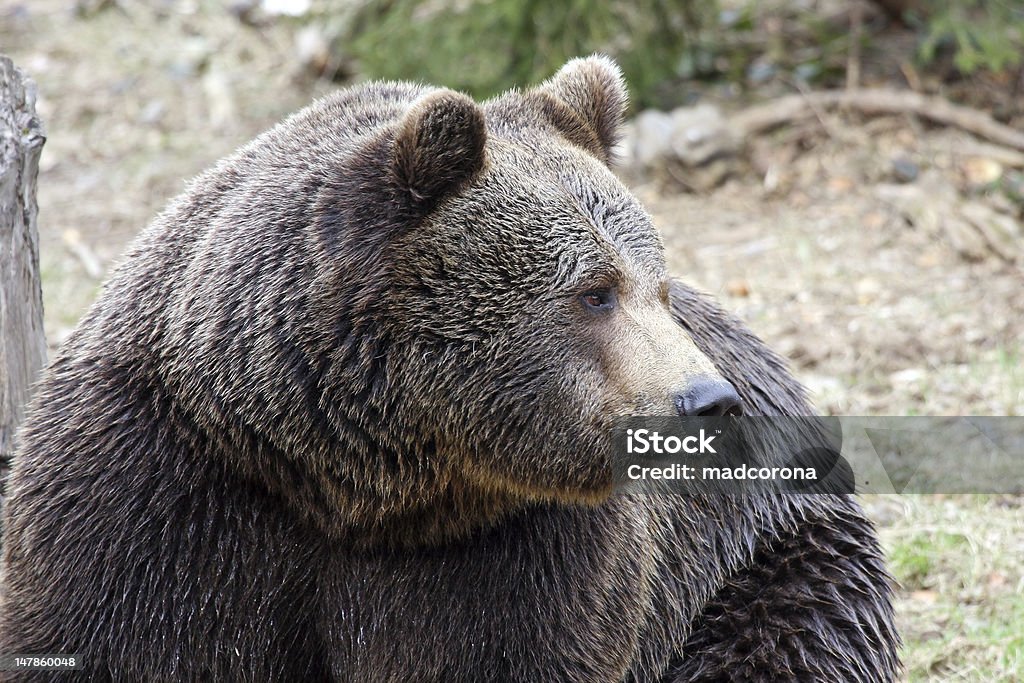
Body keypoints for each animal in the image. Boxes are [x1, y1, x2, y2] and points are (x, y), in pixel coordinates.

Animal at [0, 56, 897, 679]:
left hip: (762, 562)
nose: (708, 398)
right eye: (595, 291)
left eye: (660, 286)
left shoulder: (515, 556)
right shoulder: (158, 500)